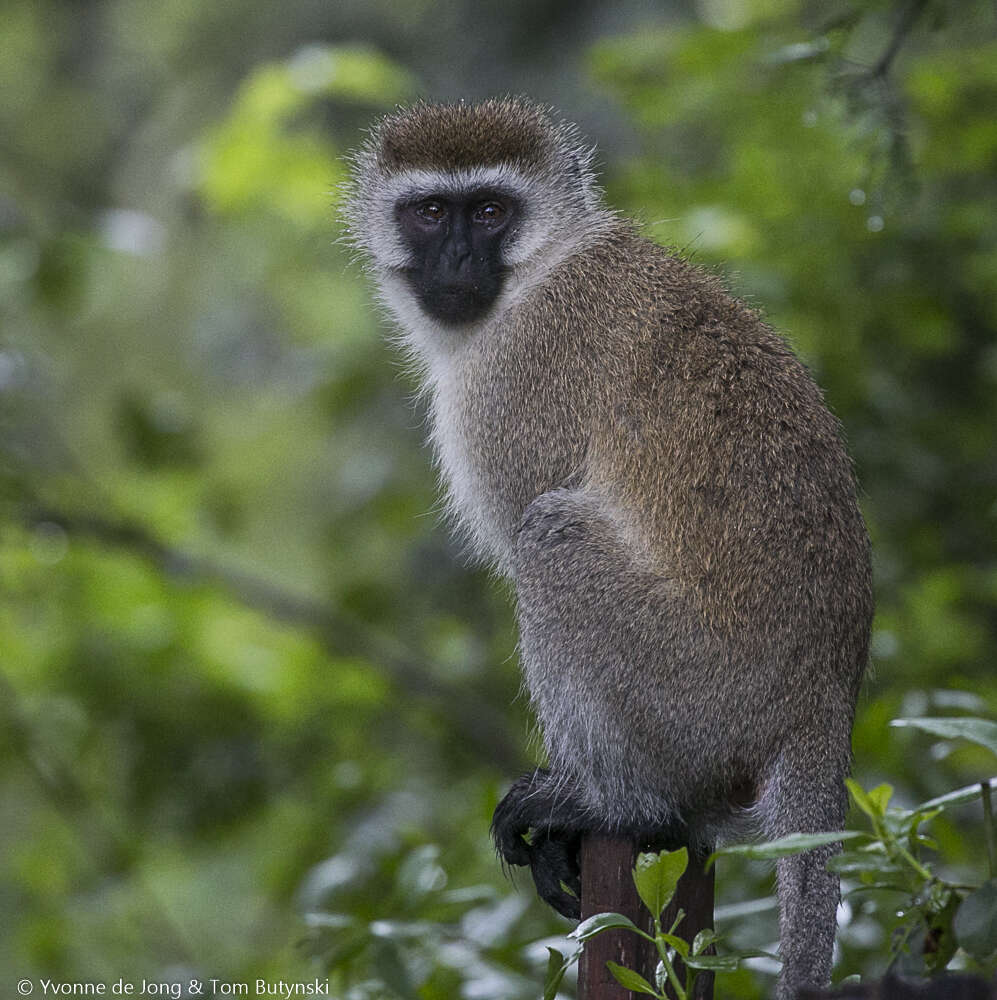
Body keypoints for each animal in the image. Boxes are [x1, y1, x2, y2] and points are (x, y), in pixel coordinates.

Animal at [342, 95, 872, 1000]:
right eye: (431, 211)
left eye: (490, 211)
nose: (456, 258)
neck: (542, 268)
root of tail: (823, 702)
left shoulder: (515, 382)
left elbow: (529, 515)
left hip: (699, 691)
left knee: (549, 538)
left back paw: (622, 804)